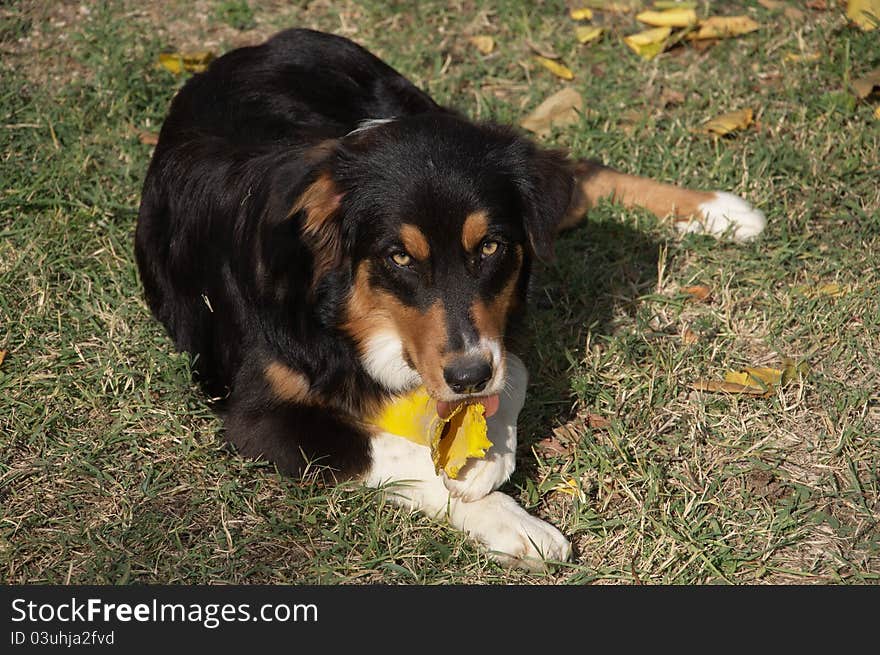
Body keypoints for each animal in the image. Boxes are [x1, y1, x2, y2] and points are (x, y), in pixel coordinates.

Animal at [136, 28, 764, 568]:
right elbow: (391, 451)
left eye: (489, 247)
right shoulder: (256, 418)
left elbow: (511, 372)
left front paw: (486, 457)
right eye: (399, 257)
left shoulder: (496, 331)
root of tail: (261, 44)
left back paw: (726, 213)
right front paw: (507, 515)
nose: (466, 377)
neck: (345, 317)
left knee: (575, 172)